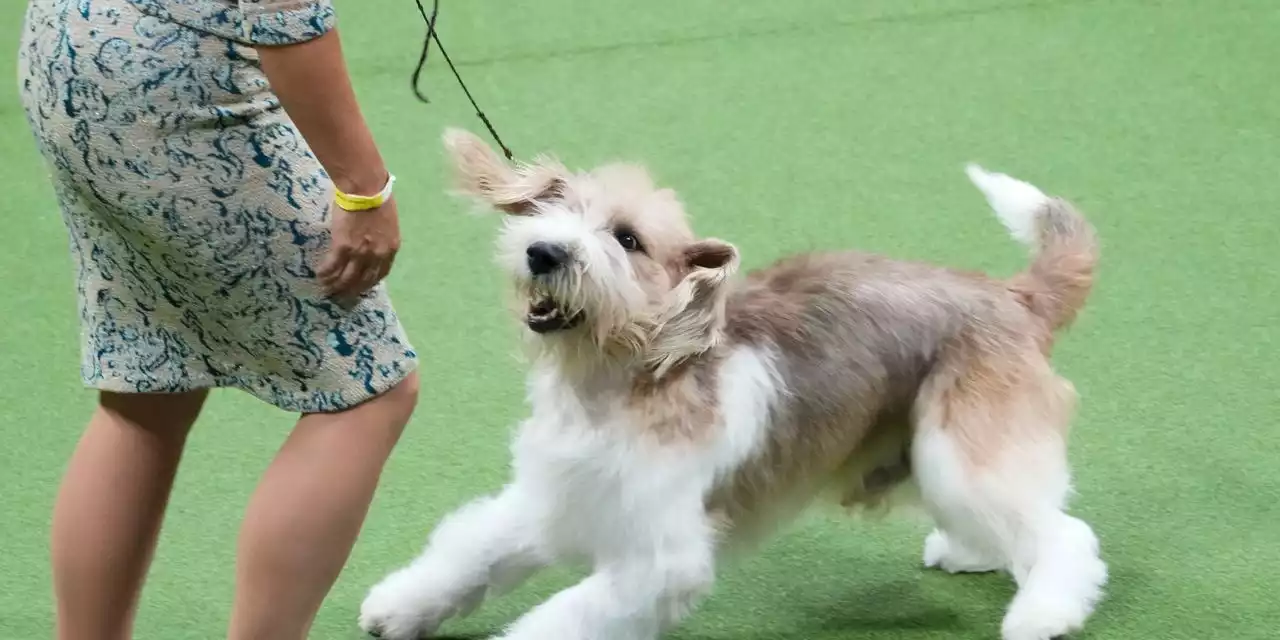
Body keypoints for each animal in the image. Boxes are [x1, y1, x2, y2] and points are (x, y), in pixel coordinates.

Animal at [360, 129, 1111, 640]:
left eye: (626, 239)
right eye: (552, 206)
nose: (544, 251)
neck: (615, 386)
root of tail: (1014, 296)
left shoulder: (659, 560)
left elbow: (560, 619)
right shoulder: (553, 500)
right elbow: (470, 552)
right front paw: (398, 606)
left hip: (963, 452)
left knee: (1065, 534)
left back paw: (1041, 614)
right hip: (934, 453)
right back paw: (972, 554)